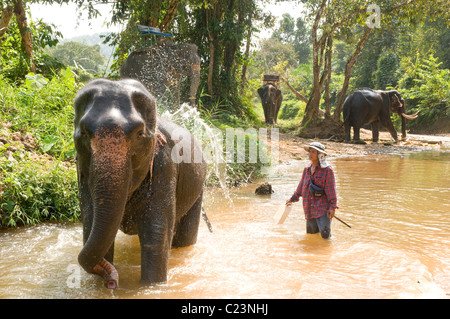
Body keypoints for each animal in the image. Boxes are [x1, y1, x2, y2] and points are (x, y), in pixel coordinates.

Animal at [74, 78, 207, 290]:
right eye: (84, 132)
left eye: (139, 134)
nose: (112, 283)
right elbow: (91, 226)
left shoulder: (164, 166)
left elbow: (156, 235)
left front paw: (150, 288)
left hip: (199, 185)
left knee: (185, 236)